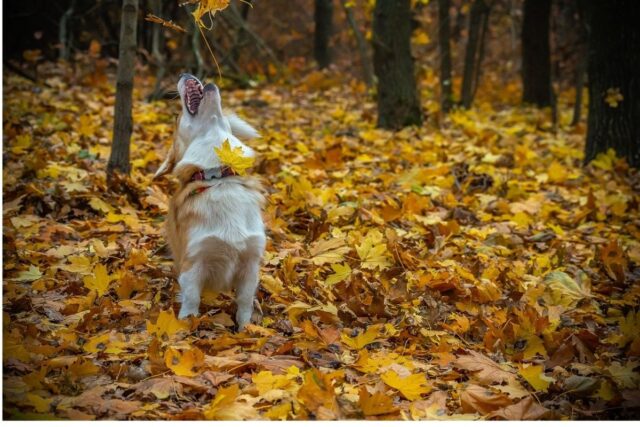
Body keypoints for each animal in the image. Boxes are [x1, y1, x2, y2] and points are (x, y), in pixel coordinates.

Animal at [155, 72, 264, 332]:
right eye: (177, 117)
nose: (185, 73)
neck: (217, 176)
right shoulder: (194, 262)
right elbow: (192, 299)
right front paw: (187, 325)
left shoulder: (250, 263)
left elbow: (245, 302)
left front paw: (246, 331)